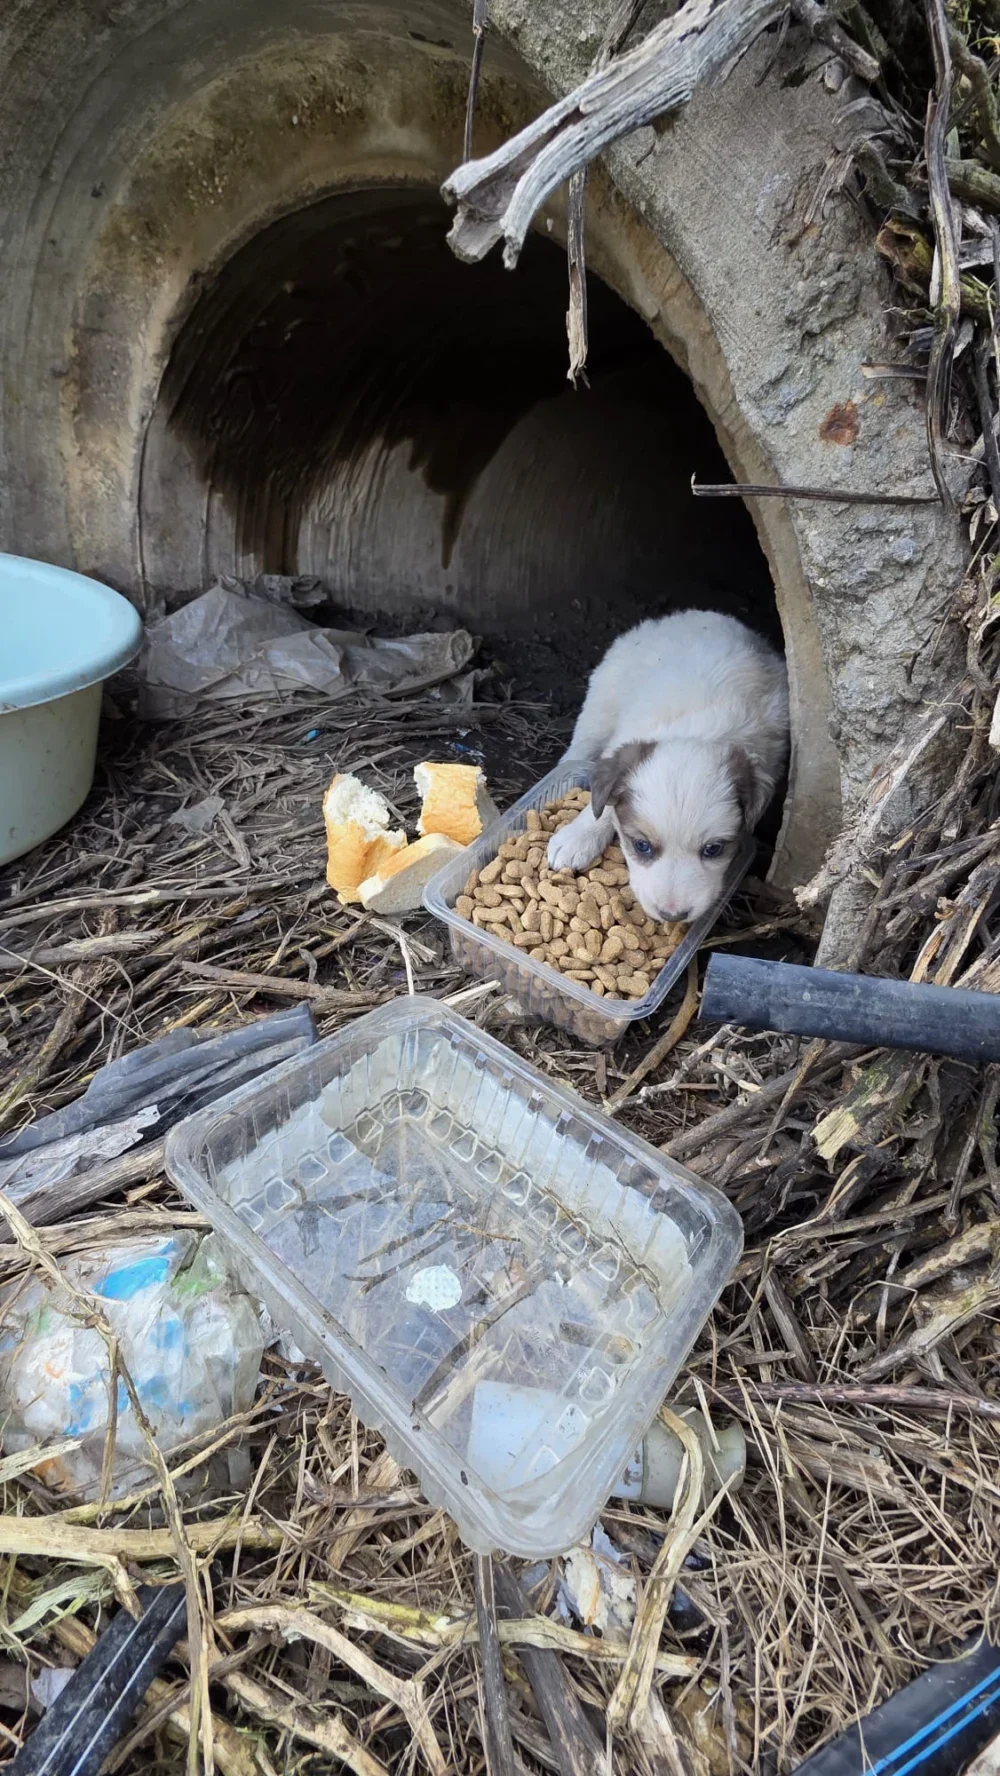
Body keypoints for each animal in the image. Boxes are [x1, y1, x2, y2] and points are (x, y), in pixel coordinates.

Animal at [547, 610, 789, 923]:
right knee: (582, 743)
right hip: (602, 700)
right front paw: (576, 839)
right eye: (642, 846)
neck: (697, 733)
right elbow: (602, 807)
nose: (672, 915)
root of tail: (693, 614)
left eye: (713, 849)